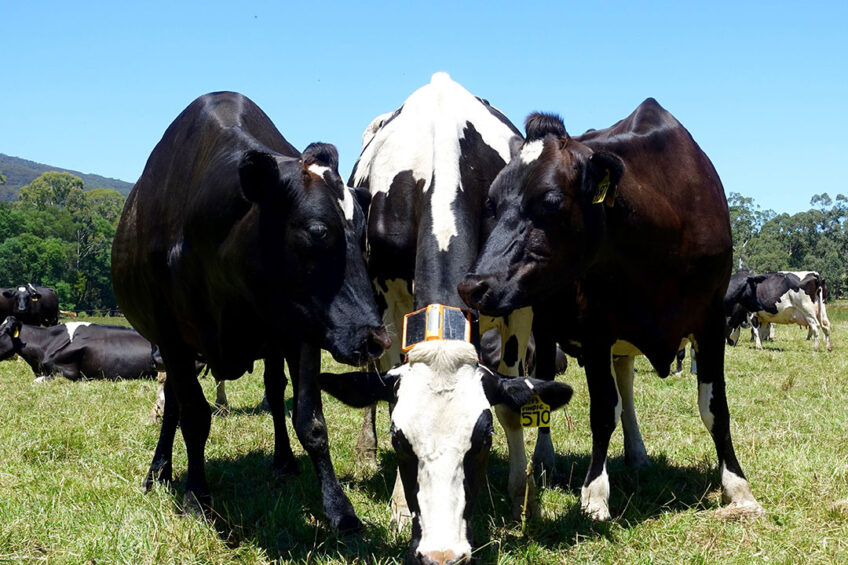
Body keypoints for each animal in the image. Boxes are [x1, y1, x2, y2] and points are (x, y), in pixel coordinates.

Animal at [111, 90, 390, 532]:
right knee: (172, 404)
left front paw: (340, 511)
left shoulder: (302, 332)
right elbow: (194, 415)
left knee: (275, 393)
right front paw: (196, 496)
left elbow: (311, 422)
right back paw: (159, 471)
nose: (376, 338)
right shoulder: (172, 338)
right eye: (317, 231)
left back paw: (284, 461)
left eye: (364, 235)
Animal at [320, 340, 576, 564]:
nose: (442, 558)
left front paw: (524, 499)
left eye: (486, 438)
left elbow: (510, 414)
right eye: (397, 441)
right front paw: (400, 508)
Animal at [460, 100, 764, 520]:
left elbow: (714, 408)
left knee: (626, 387)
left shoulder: (711, 323)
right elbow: (603, 410)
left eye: (550, 202)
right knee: (542, 386)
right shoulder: (595, 332)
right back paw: (543, 459)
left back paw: (637, 453)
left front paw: (738, 487)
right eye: (492, 204)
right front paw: (595, 494)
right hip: (538, 327)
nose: (474, 285)